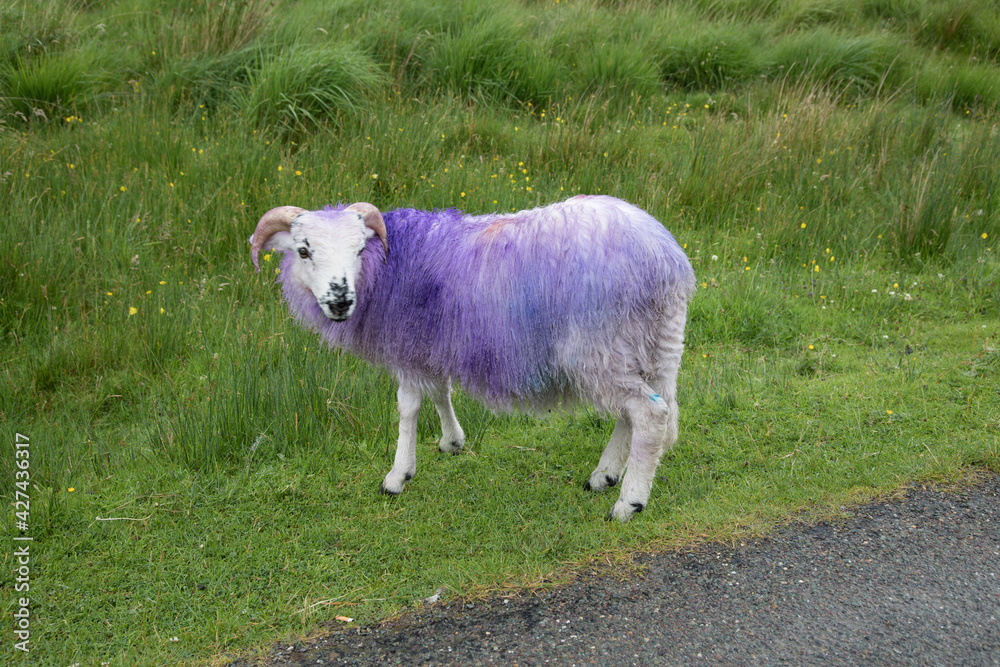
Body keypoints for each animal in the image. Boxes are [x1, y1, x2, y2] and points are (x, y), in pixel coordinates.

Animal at [249, 195, 696, 521]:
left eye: (360, 248)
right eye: (303, 251)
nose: (340, 300)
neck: (389, 264)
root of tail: (665, 260)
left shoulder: (408, 346)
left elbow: (408, 407)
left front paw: (397, 476)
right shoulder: (431, 343)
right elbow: (440, 391)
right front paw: (452, 441)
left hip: (598, 347)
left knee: (650, 415)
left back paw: (629, 502)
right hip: (652, 346)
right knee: (637, 412)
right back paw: (605, 475)